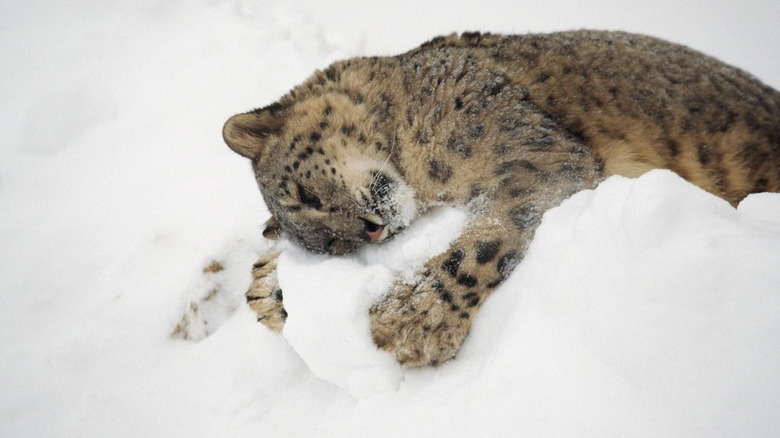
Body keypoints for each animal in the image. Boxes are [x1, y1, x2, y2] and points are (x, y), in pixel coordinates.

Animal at [222, 30, 776, 366]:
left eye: (304, 194)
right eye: (332, 249)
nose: (370, 231)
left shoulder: (538, 156)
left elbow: (487, 239)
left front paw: (410, 321)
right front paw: (270, 290)